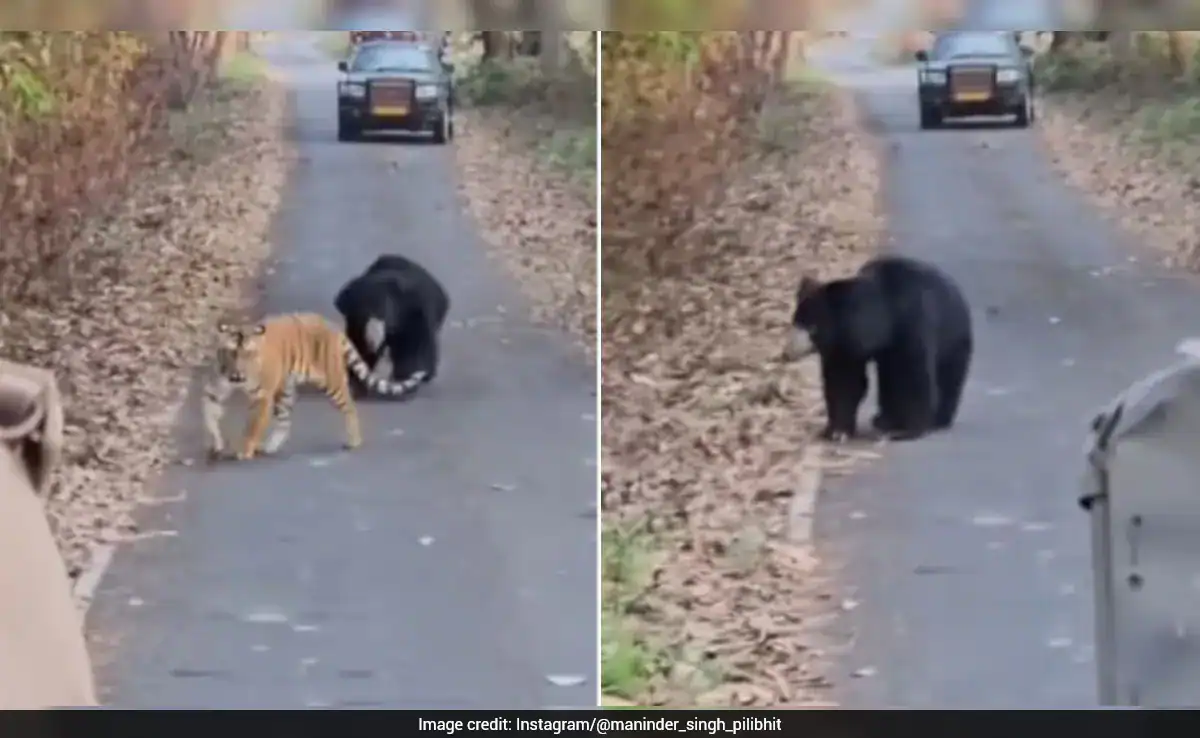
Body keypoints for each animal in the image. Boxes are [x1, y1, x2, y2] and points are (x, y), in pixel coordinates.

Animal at [201, 312, 426, 461]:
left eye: (248, 353)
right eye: (231, 352)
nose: (238, 375)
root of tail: (333, 326)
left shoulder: (261, 397)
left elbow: (252, 426)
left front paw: (244, 450)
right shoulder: (214, 390)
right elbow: (209, 417)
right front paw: (217, 445)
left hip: (332, 382)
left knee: (350, 407)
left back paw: (353, 441)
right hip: (286, 389)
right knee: (285, 421)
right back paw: (270, 447)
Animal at [782, 254, 973, 442]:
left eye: (813, 328)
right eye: (795, 322)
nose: (787, 353)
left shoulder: (912, 323)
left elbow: (912, 374)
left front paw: (907, 430)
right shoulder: (846, 345)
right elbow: (844, 379)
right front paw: (837, 431)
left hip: (953, 339)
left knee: (948, 377)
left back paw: (938, 419)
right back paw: (884, 419)